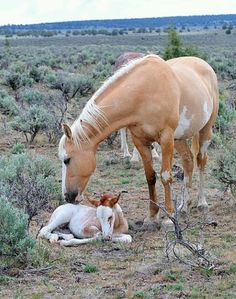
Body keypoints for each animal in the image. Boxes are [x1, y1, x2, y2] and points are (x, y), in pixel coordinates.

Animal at [58, 55, 218, 226]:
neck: (144, 93)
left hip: (205, 130)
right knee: (188, 161)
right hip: (179, 139)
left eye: (67, 160)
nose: (67, 196)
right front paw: (151, 216)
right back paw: (183, 206)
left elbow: (165, 176)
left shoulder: (166, 138)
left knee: (201, 160)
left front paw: (169, 217)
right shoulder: (140, 141)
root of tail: (203, 63)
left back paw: (201, 202)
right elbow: (150, 177)